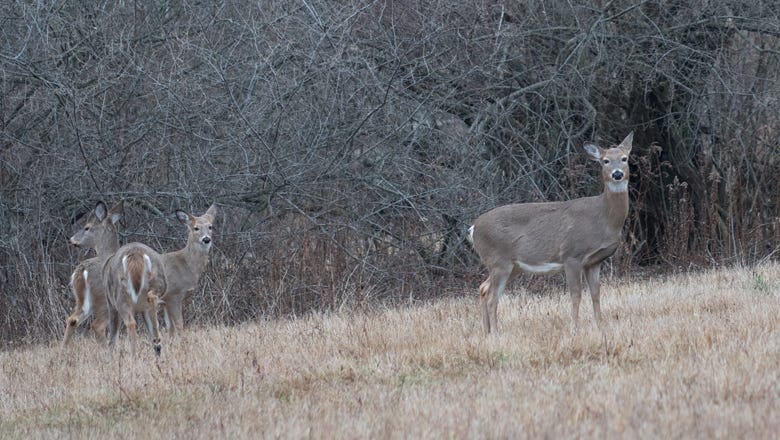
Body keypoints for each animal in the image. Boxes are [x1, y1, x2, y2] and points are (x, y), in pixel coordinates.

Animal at [62, 201, 124, 347]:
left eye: (87, 227)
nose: (71, 239)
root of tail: (81, 271)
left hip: (83, 300)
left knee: (72, 319)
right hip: (105, 299)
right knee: (97, 325)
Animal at [159, 203, 217, 338]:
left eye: (210, 227)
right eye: (196, 228)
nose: (206, 239)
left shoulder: (165, 301)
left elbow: (170, 329)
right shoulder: (173, 294)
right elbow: (179, 326)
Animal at [469, 132, 634, 334]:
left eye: (625, 158)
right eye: (605, 161)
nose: (617, 174)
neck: (603, 218)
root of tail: (473, 228)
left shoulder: (594, 261)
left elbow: (596, 293)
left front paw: (600, 326)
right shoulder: (572, 255)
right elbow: (576, 294)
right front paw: (574, 329)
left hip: (512, 265)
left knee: (483, 288)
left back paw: (487, 332)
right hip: (498, 260)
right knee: (492, 297)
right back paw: (496, 333)